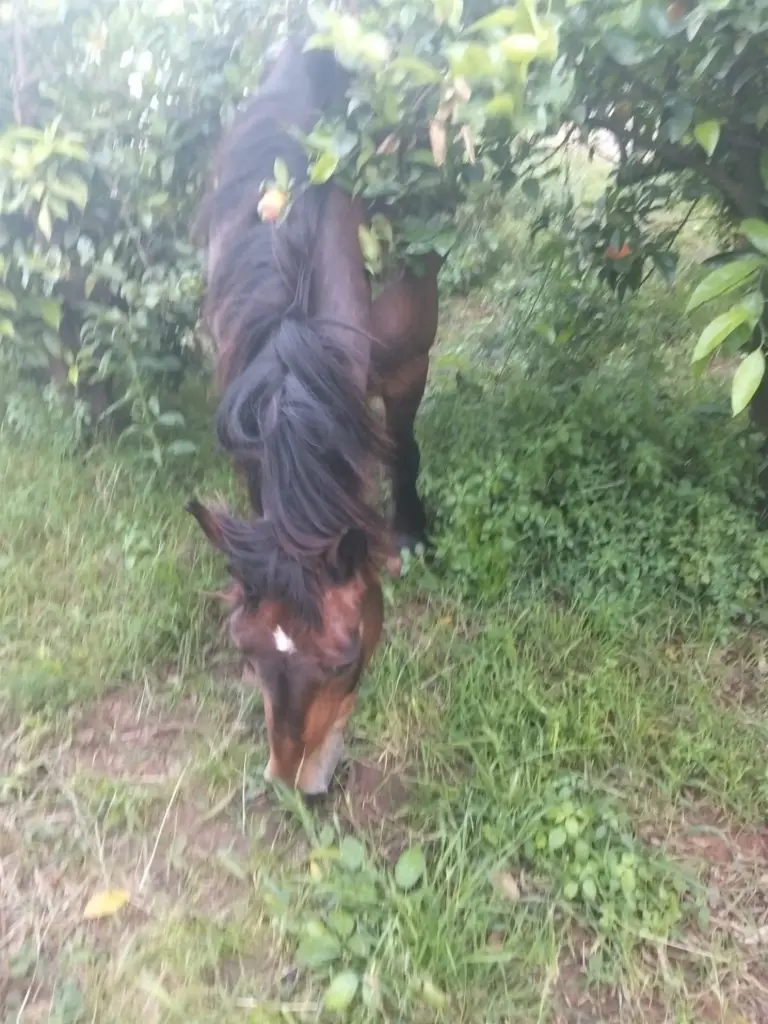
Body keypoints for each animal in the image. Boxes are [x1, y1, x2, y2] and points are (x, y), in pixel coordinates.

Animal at [187, 31, 442, 794]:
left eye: (346, 657)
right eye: (242, 649)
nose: (292, 781)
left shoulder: (409, 359)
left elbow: (405, 446)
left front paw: (410, 536)